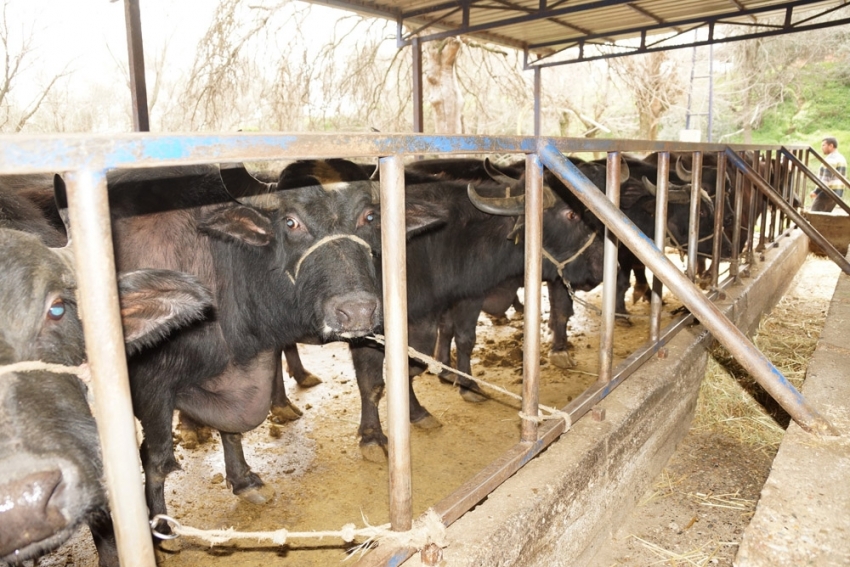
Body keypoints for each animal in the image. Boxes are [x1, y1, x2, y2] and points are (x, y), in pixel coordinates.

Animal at [54, 164, 444, 528]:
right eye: (291, 222)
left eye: (369, 217)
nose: (357, 310)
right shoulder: (151, 385)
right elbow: (157, 459)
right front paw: (162, 528)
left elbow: (235, 427)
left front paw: (245, 481)